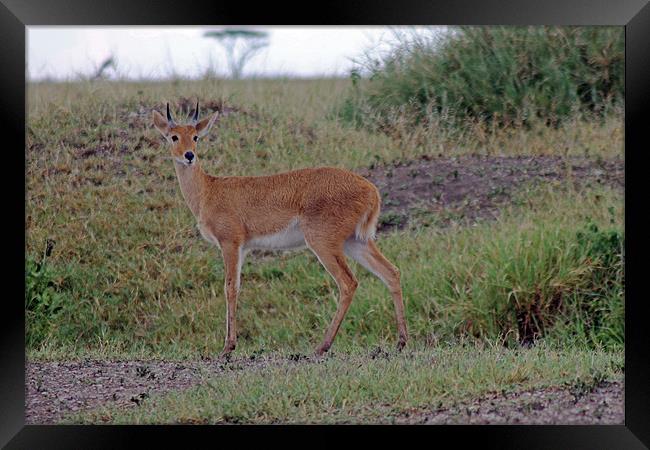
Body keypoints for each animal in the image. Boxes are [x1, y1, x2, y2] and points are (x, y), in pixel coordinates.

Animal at [152, 103, 404, 358]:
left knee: (348, 282)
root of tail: (371, 190)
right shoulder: (244, 248)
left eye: (195, 136)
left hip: (323, 243)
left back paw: (322, 346)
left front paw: (228, 347)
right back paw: (401, 341)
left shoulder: (230, 243)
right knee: (391, 272)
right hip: (356, 242)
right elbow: (237, 287)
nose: (189, 155)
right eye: (174, 136)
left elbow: (229, 288)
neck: (208, 191)